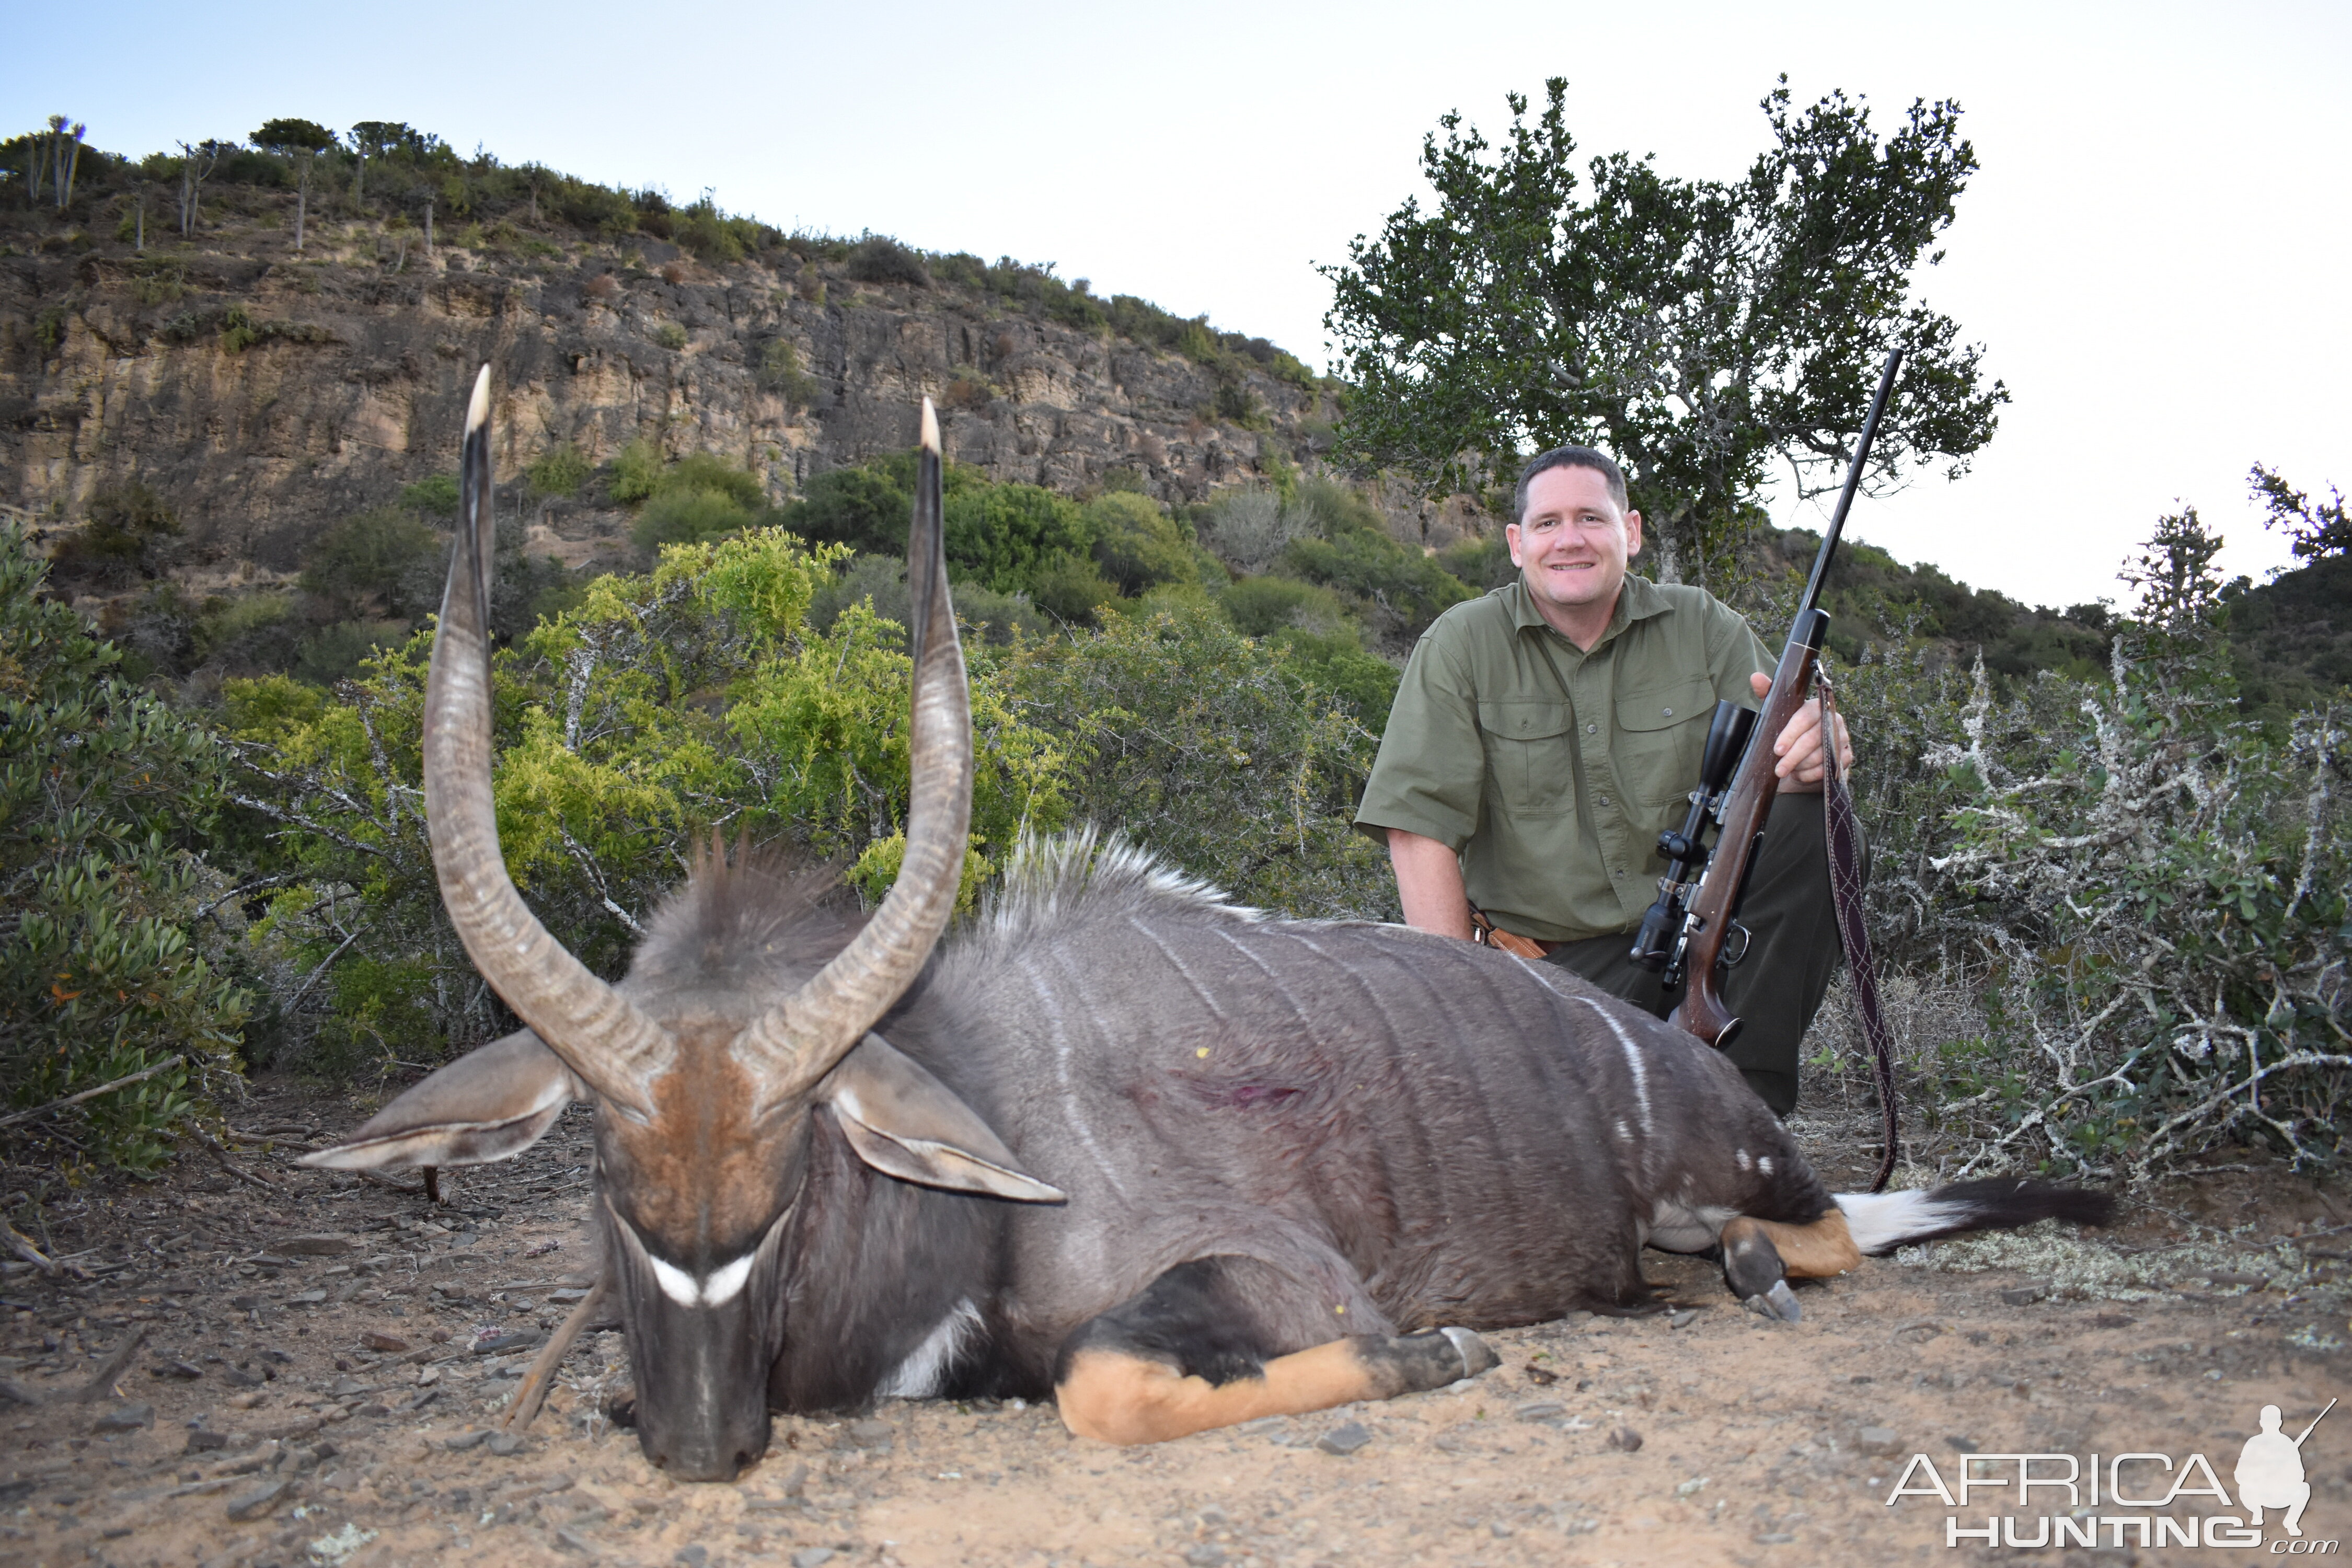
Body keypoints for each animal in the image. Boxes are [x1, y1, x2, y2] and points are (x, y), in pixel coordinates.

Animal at [308, 371, 2117, 1485]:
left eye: (802, 1160)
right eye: (603, 1176)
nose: (696, 1440)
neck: (986, 1116)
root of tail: (1680, 1065)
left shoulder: (1269, 1271)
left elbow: (1107, 1384)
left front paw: (1442, 1354)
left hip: (1740, 1171)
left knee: (1826, 1234)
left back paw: (1735, 1263)